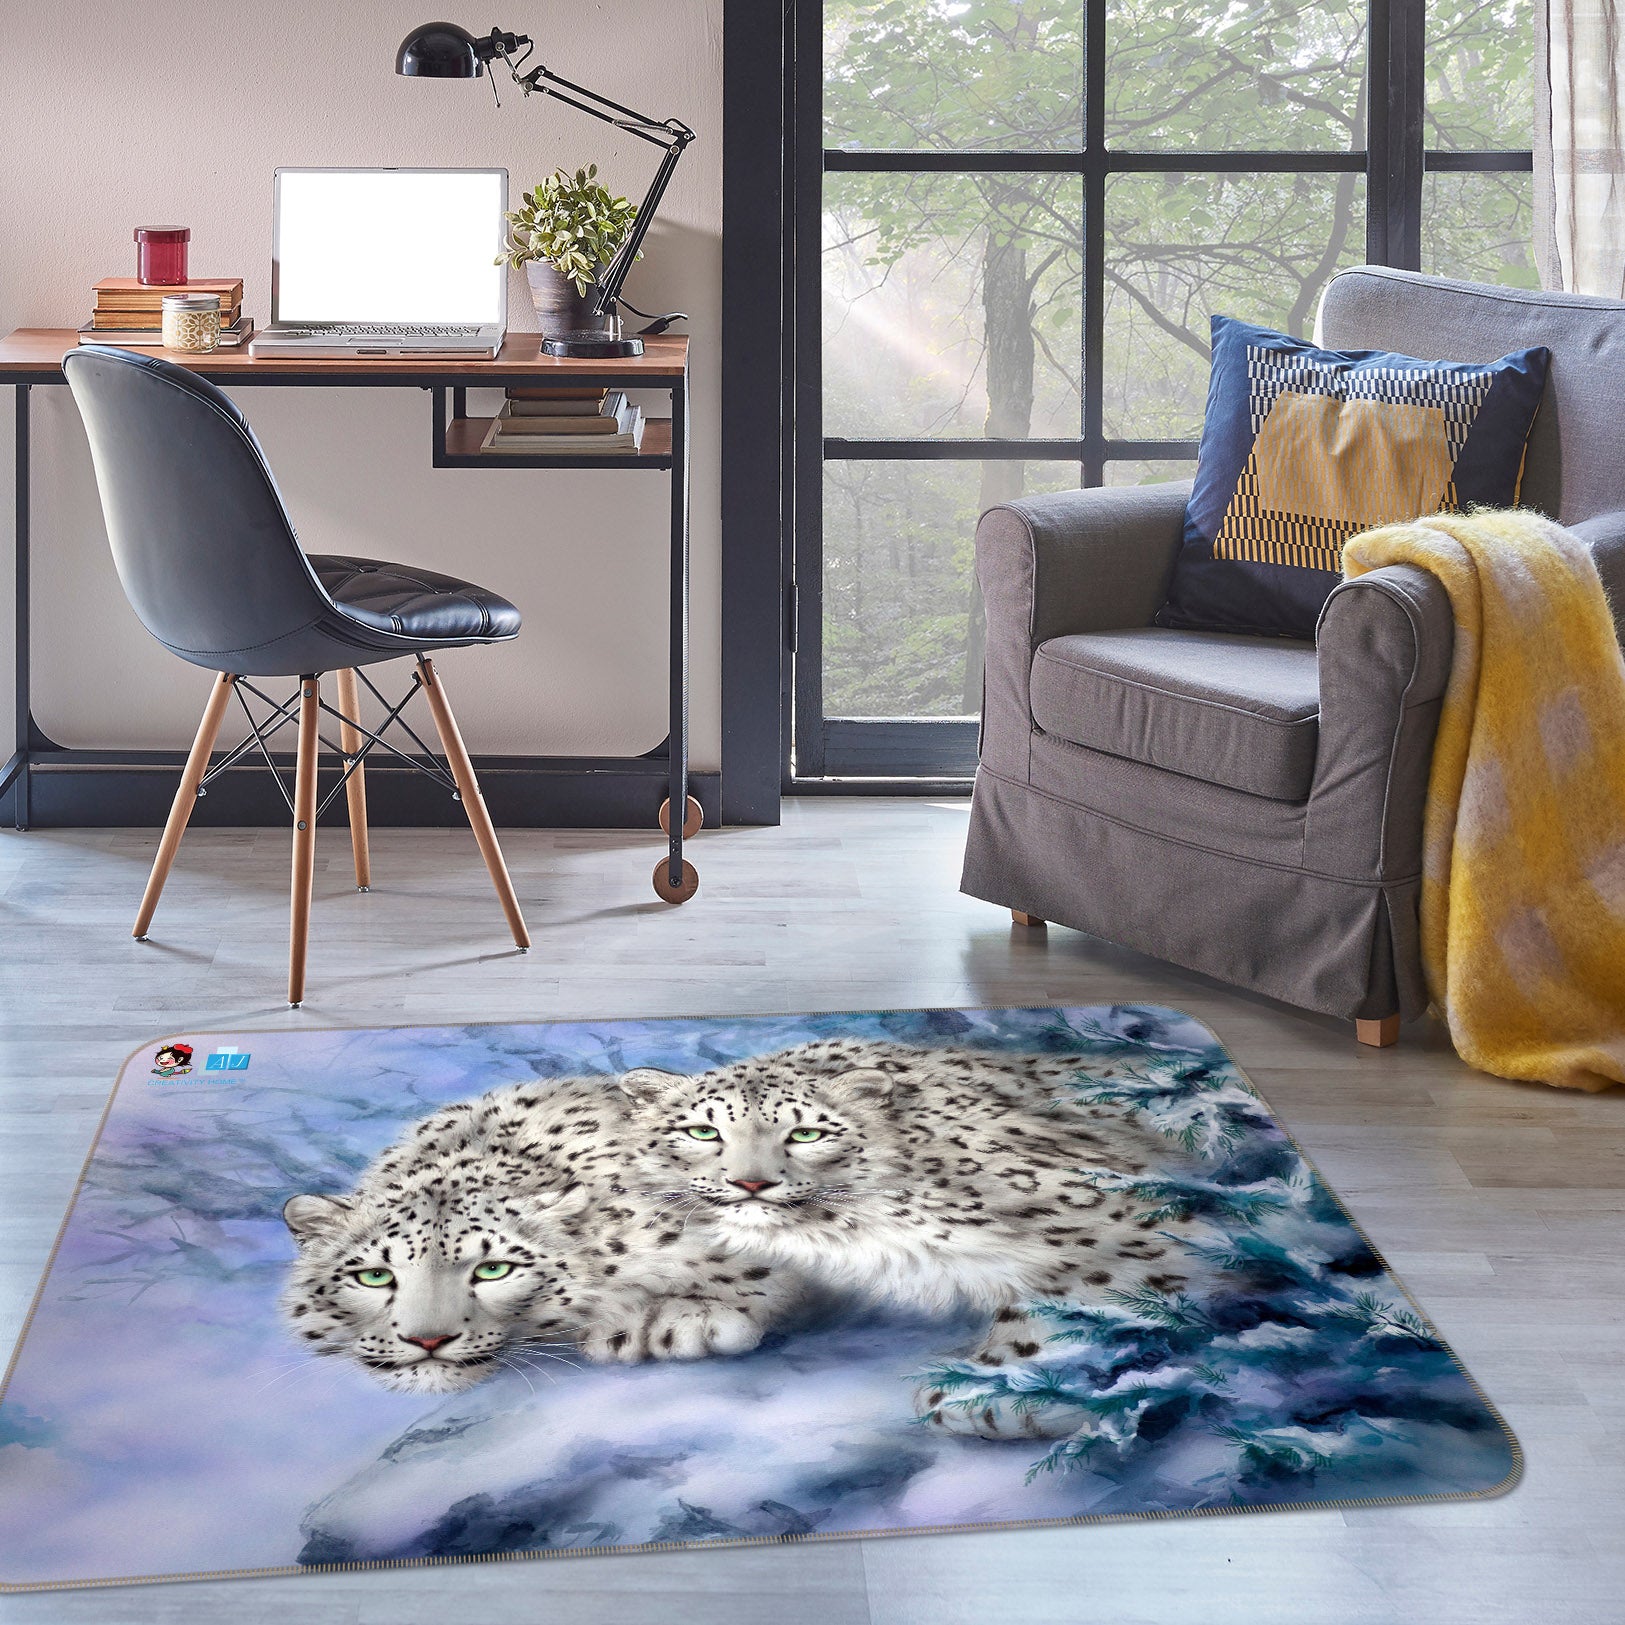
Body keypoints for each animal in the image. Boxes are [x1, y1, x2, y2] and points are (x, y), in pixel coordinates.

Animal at [613, 1039, 1212, 1439]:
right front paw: (693, 1312)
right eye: (702, 1131)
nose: (751, 1183)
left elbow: (1078, 1282)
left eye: (806, 1133)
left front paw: (993, 1386)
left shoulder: (1123, 1209)